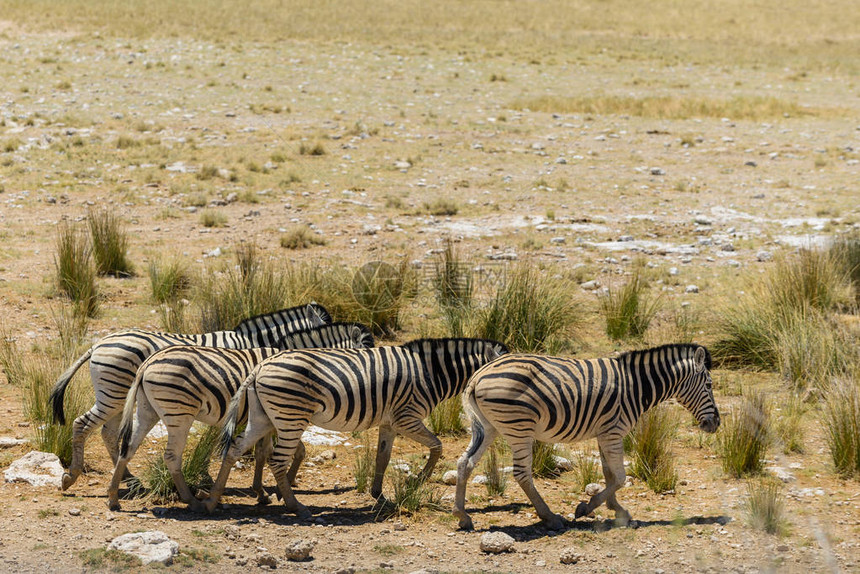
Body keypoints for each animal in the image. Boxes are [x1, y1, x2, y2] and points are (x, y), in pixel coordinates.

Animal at [49, 302, 330, 490]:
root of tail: (98, 344)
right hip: (114, 393)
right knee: (83, 424)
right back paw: (72, 476)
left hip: (117, 398)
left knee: (109, 433)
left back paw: (129, 479)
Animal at [105, 324, 372, 512]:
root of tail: (147, 363)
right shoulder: (278, 415)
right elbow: (289, 452)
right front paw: (278, 489)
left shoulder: (268, 418)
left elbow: (266, 452)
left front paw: (264, 491)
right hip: (177, 412)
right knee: (168, 455)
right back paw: (192, 501)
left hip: (147, 409)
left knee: (128, 446)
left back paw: (114, 498)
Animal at [198, 338, 508, 516]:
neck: (431, 372)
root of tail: (259, 367)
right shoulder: (406, 417)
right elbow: (437, 447)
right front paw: (417, 481)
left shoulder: (389, 422)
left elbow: (383, 457)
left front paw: (378, 494)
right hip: (290, 417)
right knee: (277, 460)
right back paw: (295, 506)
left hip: (263, 418)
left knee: (234, 449)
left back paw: (213, 501)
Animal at [454, 344, 724, 532]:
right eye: (709, 385)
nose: (716, 424)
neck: (637, 387)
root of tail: (478, 375)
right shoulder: (614, 431)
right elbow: (620, 478)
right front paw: (586, 508)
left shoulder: (604, 433)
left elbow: (609, 475)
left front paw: (617, 510)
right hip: (519, 427)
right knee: (521, 473)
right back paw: (550, 518)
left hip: (488, 427)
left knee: (465, 462)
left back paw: (462, 516)